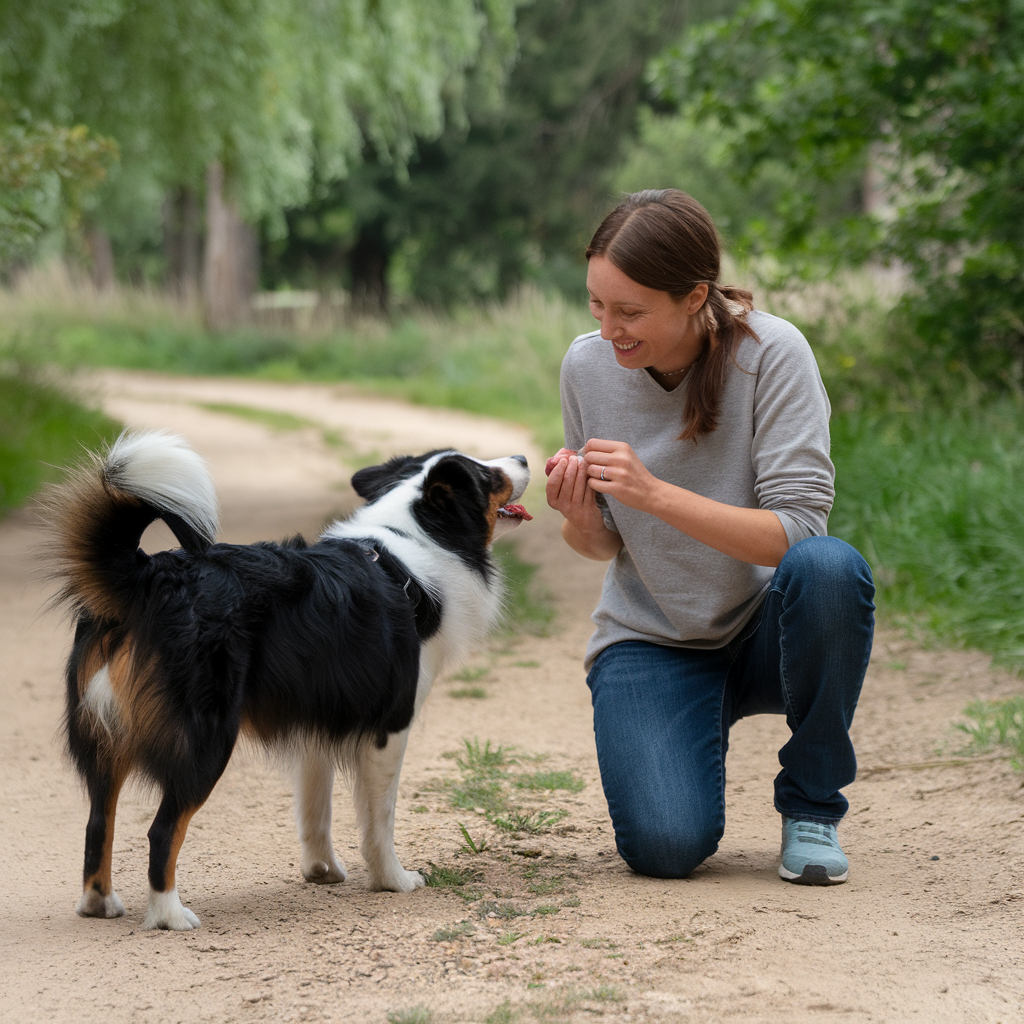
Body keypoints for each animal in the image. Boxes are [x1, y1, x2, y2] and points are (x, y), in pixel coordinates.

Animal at [47, 428, 532, 933]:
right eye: (486, 475)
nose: (523, 457)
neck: (418, 537)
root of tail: (148, 575)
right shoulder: (390, 728)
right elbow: (379, 819)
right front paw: (392, 880)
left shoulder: (317, 716)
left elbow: (315, 809)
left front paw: (322, 871)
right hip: (206, 738)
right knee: (162, 829)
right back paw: (168, 914)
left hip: (106, 737)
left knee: (98, 822)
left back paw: (99, 902)